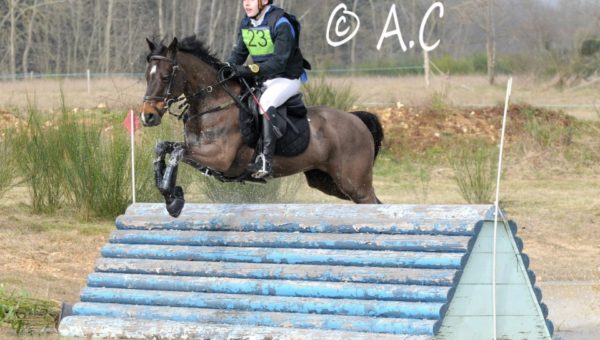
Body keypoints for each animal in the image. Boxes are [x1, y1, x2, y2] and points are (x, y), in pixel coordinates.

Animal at [141, 36, 384, 218]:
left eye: (165, 77)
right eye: (146, 76)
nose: (147, 116)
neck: (213, 103)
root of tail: (356, 119)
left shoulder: (220, 157)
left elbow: (177, 151)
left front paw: (173, 201)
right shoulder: (200, 154)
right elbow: (163, 147)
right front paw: (171, 194)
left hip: (354, 183)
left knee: (371, 201)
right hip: (328, 182)